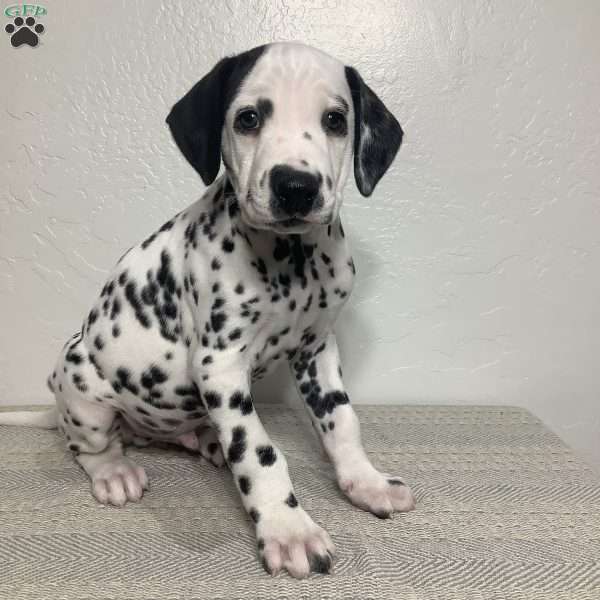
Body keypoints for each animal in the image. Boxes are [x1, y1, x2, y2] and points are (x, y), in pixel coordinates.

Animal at [0, 41, 412, 576]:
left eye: (336, 120)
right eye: (249, 117)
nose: (295, 186)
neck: (292, 259)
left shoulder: (317, 349)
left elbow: (341, 421)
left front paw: (365, 481)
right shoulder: (221, 363)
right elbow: (259, 451)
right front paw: (289, 529)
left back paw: (208, 440)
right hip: (80, 384)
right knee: (86, 446)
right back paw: (114, 471)